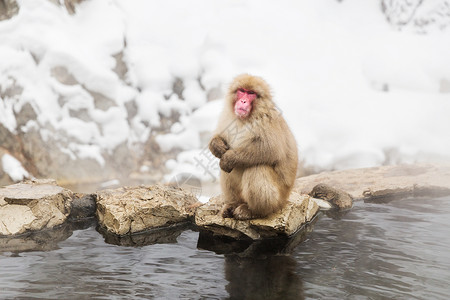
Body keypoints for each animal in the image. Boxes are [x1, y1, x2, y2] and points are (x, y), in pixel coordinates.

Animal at [208, 74, 298, 219]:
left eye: (251, 93)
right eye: (241, 91)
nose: (243, 101)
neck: (245, 118)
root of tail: (285, 198)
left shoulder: (267, 119)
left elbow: (270, 149)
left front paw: (229, 158)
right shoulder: (227, 117)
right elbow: (221, 138)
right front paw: (216, 145)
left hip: (277, 199)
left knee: (257, 167)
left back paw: (253, 211)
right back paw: (232, 204)